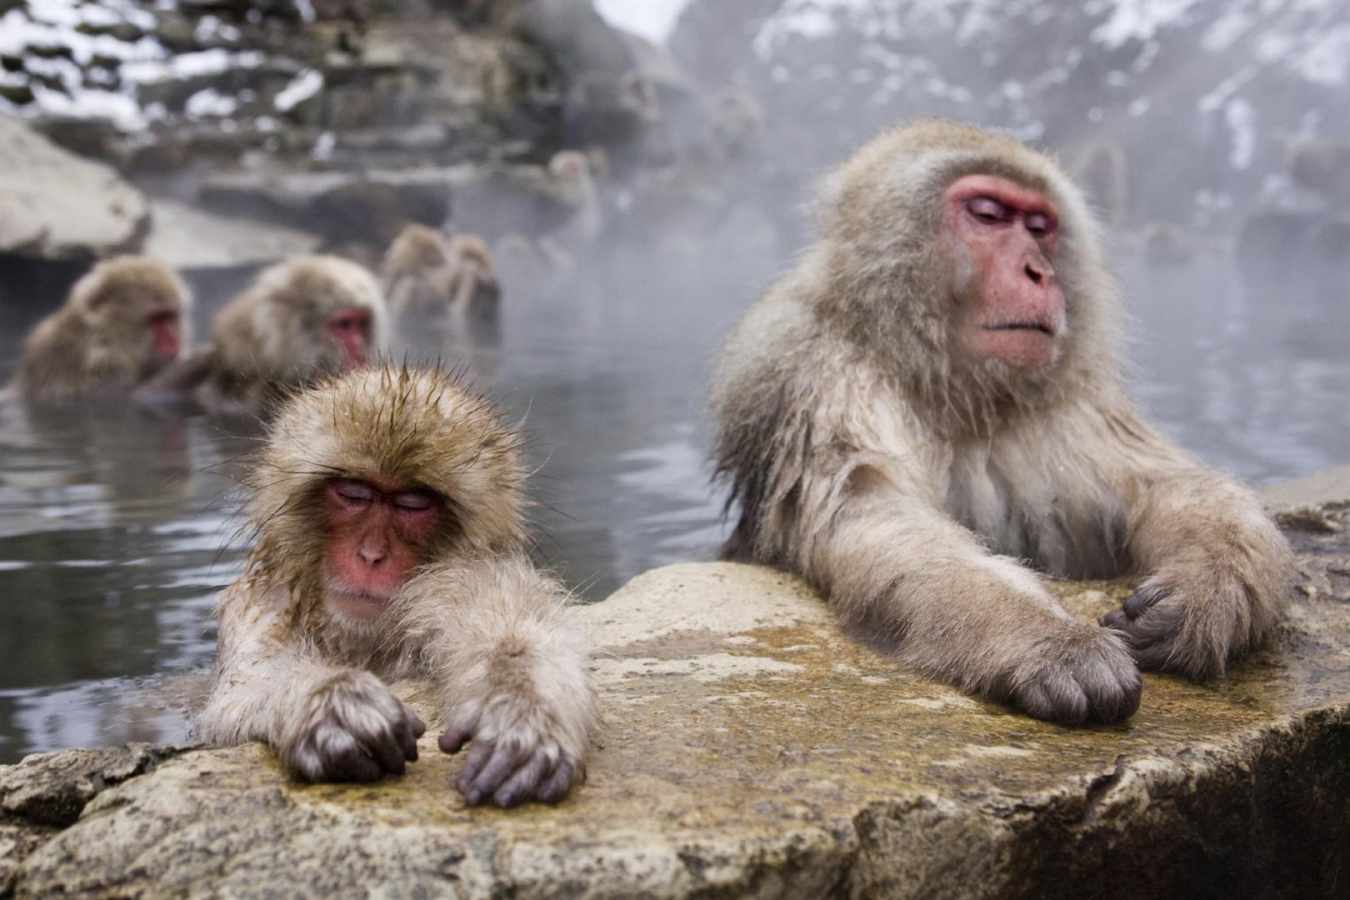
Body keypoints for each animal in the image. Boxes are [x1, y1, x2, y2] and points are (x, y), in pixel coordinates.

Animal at [196, 364, 594, 806]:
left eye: (412, 504)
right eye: (354, 494)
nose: (371, 555)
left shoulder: (466, 574)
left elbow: (507, 626)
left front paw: (518, 710)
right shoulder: (265, 601)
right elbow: (248, 680)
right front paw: (332, 701)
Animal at [710, 120, 1294, 726]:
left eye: (1038, 227)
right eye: (988, 215)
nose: (1038, 271)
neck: (950, 389)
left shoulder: (1072, 403)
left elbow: (1162, 484)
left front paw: (1202, 594)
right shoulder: (810, 373)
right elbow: (874, 514)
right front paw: (1049, 642)